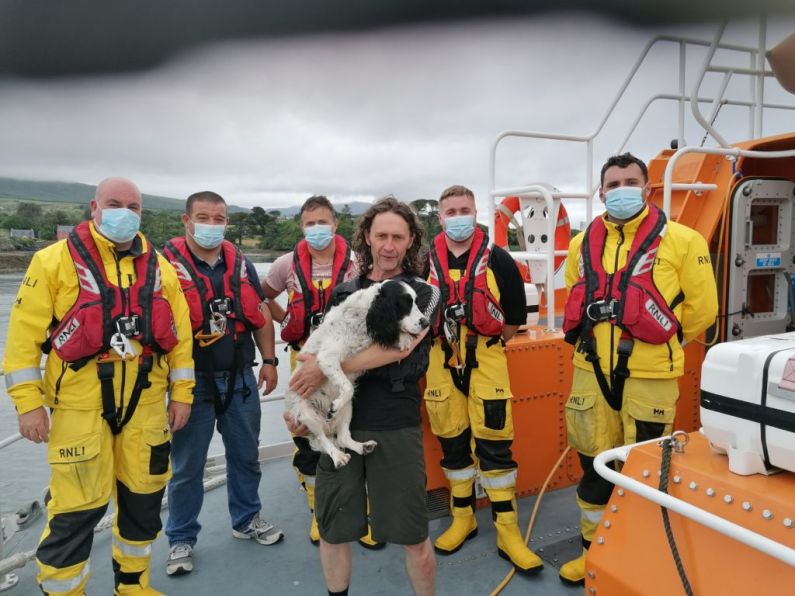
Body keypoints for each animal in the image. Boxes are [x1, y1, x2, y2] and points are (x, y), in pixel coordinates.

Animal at [284, 282, 430, 468]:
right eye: (405, 303)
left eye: (415, 302)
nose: (426, 322)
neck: (362, 316)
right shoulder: (327, 358)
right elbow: (348, 388)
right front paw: (336, 405)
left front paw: (402, 338)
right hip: (307, 415)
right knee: (323, 439)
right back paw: (338, 456)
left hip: (348, 409)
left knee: (343, 437)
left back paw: (363, 447)